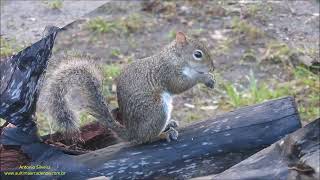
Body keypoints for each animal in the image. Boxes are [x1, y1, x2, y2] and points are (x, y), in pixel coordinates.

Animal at [45, 31, 215, 144]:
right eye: (198, 54)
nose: (212, 68)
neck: (176, 58)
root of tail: (132, 134)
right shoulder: (166, 73)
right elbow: (178, 85)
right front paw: (204, 78)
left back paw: (169, 125)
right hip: (157, 109)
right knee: (147, 138)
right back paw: (163, 134)